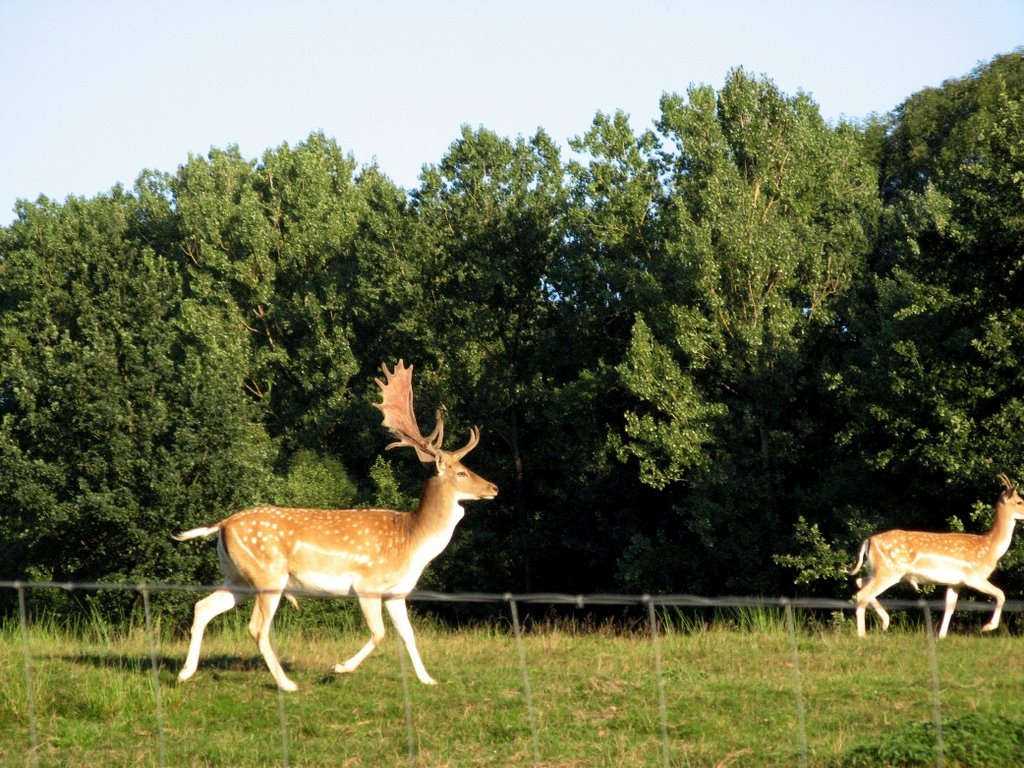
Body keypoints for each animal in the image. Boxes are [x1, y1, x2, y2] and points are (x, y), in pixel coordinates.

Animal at [173, 360, 499, 692]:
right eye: (461, 472)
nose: (493, 487)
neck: (411, 540)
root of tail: (222, 524)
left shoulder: (396, 593)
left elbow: (408, 634)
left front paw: (428, 679)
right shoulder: (368, 584)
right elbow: (379, 633)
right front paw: (341, 667)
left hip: (239, 577)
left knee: (203, 606)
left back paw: (185, 673)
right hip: (268, 574)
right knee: (256, 627)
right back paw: (287, 683)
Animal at [847, 475, 1024, 638]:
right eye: (1019, 502)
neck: (991, 547)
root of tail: (869, 540)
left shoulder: (956, 583)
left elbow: (950, 608)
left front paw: (942, 636)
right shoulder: (974, 576)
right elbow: (1001, 594)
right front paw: (987, 627)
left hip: (877, 570)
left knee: (860, 581)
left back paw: (884, 622)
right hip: (889, 570)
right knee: (863, 594)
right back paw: (863, 634)